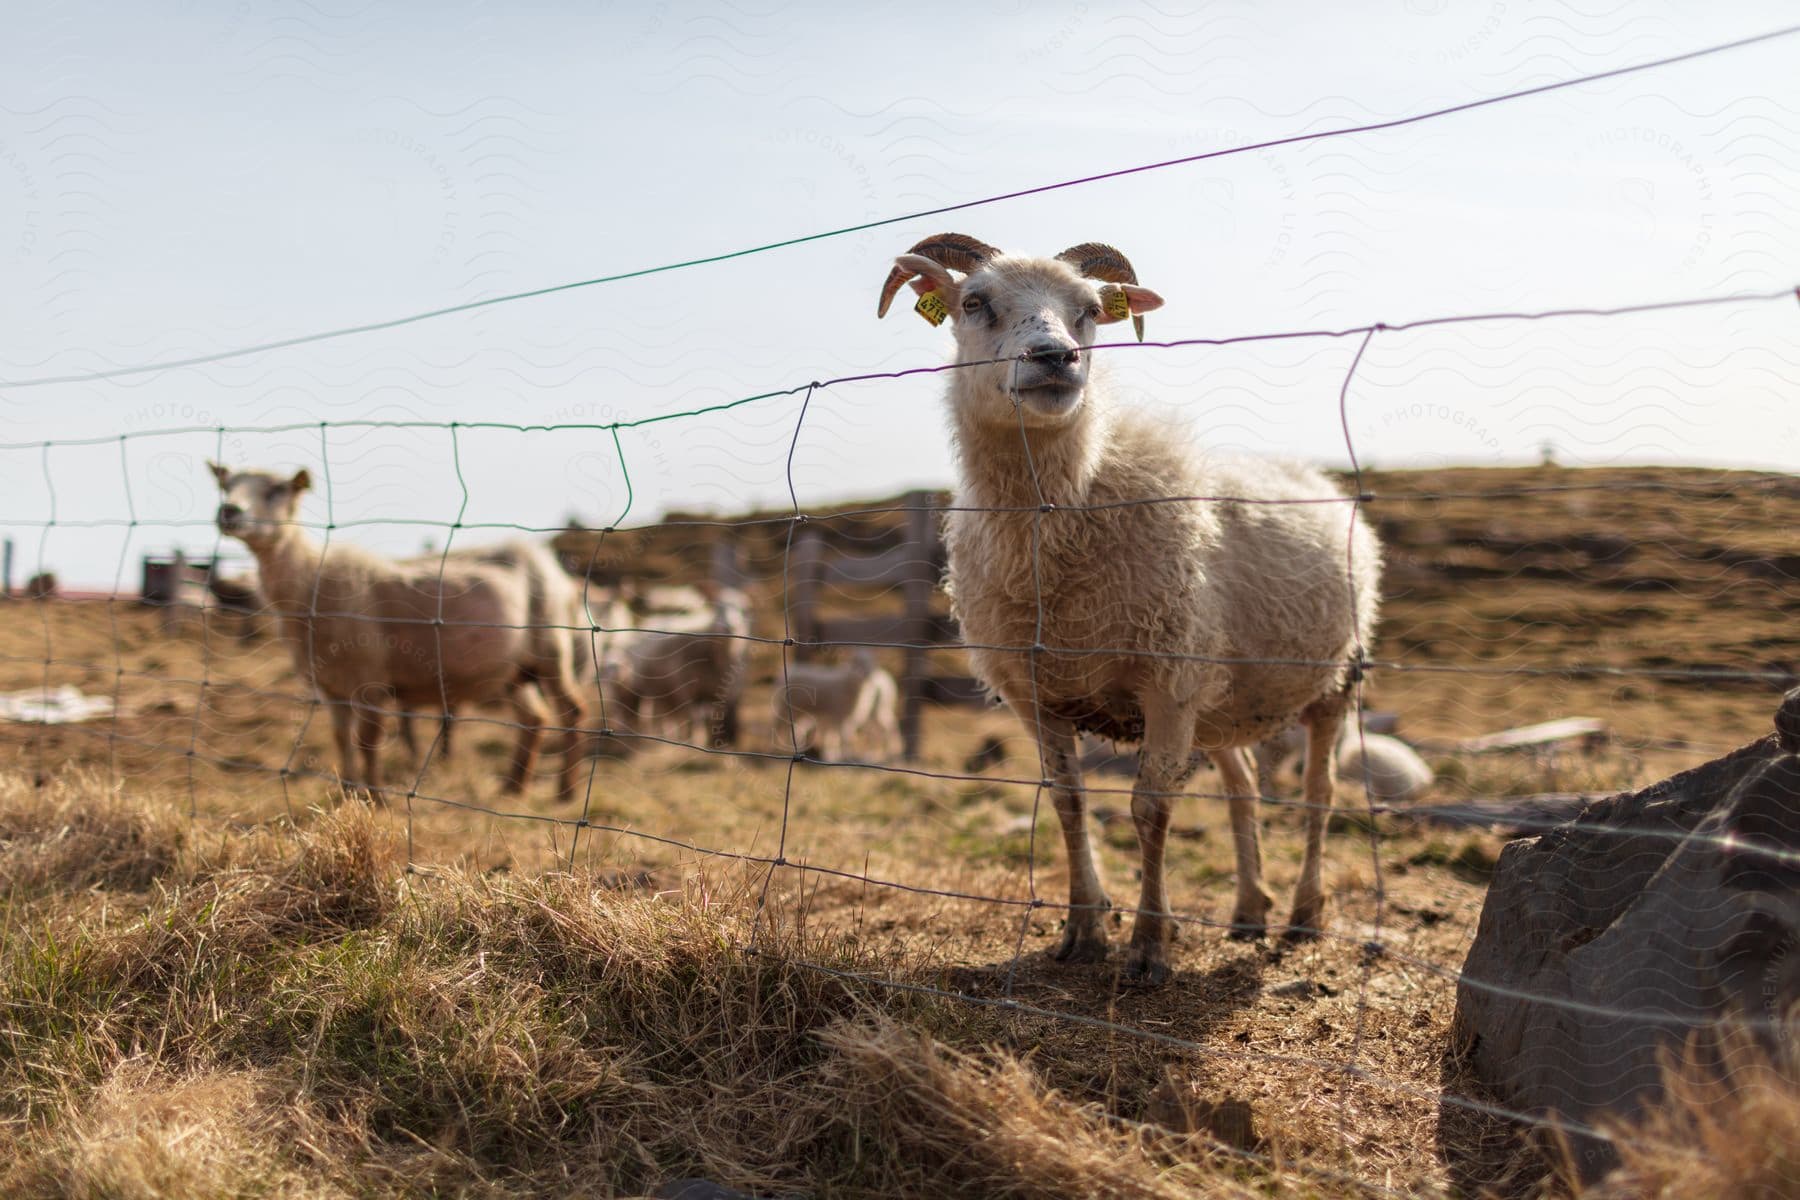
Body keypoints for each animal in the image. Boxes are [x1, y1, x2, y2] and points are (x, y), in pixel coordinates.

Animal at [206, 464, 583, 802]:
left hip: (552, 648)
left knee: (571, 711)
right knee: (534, 718)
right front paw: (348, 795)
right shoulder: (331, 685)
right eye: (228, 486)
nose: (228, 511)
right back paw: (513, 787)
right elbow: (341, 739)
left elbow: (367, 741)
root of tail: (555, 570)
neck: (308, 578)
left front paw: (376, 798)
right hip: (513, 671)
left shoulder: (369, 677)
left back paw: (566, 791)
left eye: (276, 490)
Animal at [770, 651, 900, 766]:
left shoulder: (842, 717)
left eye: (871, 662)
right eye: (857, 662)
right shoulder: (838, 715)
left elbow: (835, 736)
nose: (868, 674)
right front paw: (841, 757)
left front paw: (834, 756)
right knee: (780, 726)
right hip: (789, 708)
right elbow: (840, 737)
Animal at [878, 233, 1382, 985]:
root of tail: (1312, 474)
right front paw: (1084, 929)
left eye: (1090, 311)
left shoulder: (1168, 685)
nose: (1056, 358)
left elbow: (1150, 811)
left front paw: (1149, 945)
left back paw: (1302, 914)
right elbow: (1068, 802)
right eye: (974, 302)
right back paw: (1248, 910)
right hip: (1222, 698)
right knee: (1244, 786)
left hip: (1332, 680)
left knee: (1319, 793)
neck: (1065, 508)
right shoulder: (1038, 694)